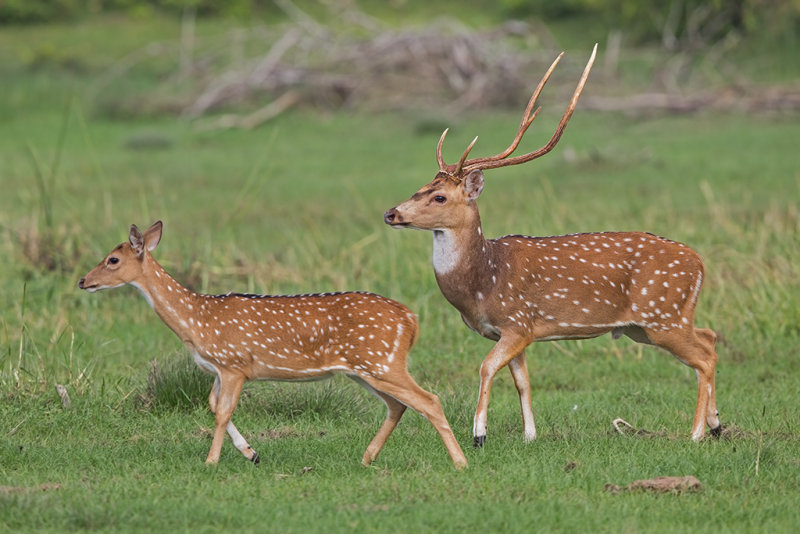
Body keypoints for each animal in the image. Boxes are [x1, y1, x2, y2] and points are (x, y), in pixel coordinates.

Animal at [78, 222, 466, 468]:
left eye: (112, 259)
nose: (83, 281)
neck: (196, 321)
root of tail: (410, 319)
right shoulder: (218, 369)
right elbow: (213, 405)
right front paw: (252, 454)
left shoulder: (234, 364)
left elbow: (221, 412)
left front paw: (211, 461)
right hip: (366, 368)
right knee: (398, 405)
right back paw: (367, 458)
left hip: (381, 361)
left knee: (429, 400)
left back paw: (460, 462)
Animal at [384, 45, 720, 448]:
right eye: (420, 187)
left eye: (439, 197)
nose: (391, 213)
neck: (483, 281)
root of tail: (699, 262)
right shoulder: (511, 332)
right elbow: (522, 381)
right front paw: (530, 434)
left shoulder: (518, 322)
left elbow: (486, 367)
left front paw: (479, 434)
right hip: (650, 323)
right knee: (710, 338)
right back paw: (717, 425)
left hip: (662, 315)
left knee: (704, 356)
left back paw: (697, 433)